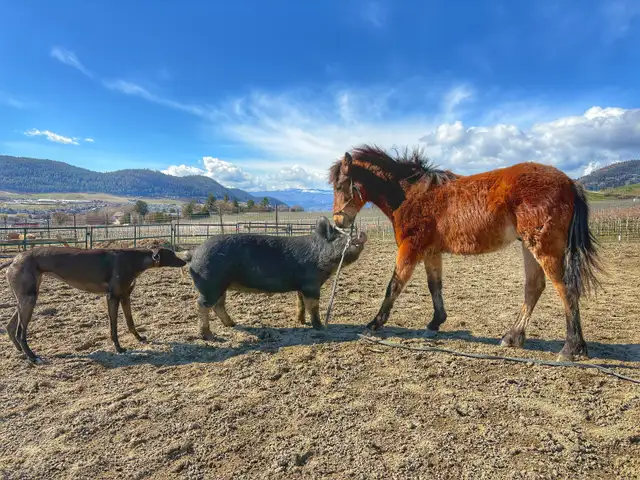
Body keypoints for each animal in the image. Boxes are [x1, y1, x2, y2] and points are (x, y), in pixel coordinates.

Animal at [329, 145, 602, 361]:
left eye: (341, 185)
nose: (339, 222)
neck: (410, 194)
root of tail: (570, 182)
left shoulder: (410, 248)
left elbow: (394, 285)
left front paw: (374, 323)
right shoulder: (430, 252)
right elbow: (434, 285)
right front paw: (435, 322)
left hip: (544, 248)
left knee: (566, 289)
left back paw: (571, 348)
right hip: (528, 246)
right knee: (534, 287)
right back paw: (512, 337)